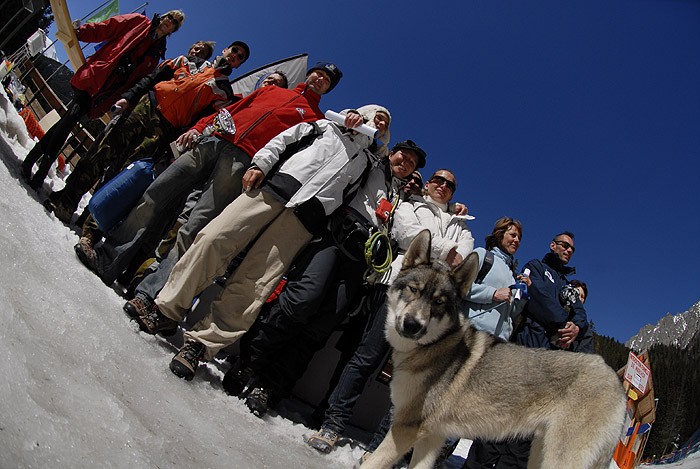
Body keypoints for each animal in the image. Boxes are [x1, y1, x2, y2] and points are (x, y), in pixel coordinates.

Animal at [360, 230, 626, 469]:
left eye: (439, 302)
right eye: (414, 290)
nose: (412, 325)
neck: (431, 347)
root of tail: (617, 382)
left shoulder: (406, 428)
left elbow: (371, 464)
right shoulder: (432, 436)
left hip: (560, 458)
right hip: (539, 454)